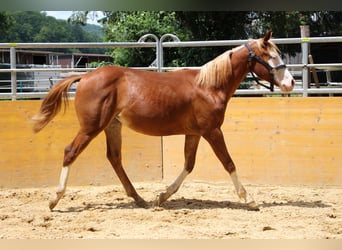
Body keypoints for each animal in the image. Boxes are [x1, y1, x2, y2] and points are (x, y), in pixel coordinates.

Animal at [31, 31, 294, 211]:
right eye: (271, 56)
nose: (290, 83)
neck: (209, 86)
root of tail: (85, 77)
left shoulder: (195, 133)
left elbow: (189, 164)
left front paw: (162, 196)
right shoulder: (212, 131)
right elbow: (228, 163)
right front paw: (249, 199)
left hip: (112, 126)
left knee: (114, 158)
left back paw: (139, 199)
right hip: (91, 127)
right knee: (70, 152)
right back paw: (54, 199)